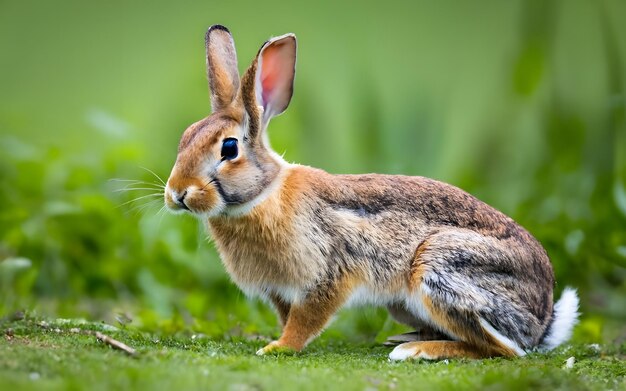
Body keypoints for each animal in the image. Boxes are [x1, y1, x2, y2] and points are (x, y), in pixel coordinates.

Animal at [163, 25, 576, 362]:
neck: (263, 194)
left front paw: (278, 347)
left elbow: (305, 319)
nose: (176, 193)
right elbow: (287, 315)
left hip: (439, 268)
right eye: (185, 137)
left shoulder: (328, 272)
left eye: (229, 148)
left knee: (506, 349)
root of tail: (543, 318)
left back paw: (417, 350)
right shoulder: (281, 291)